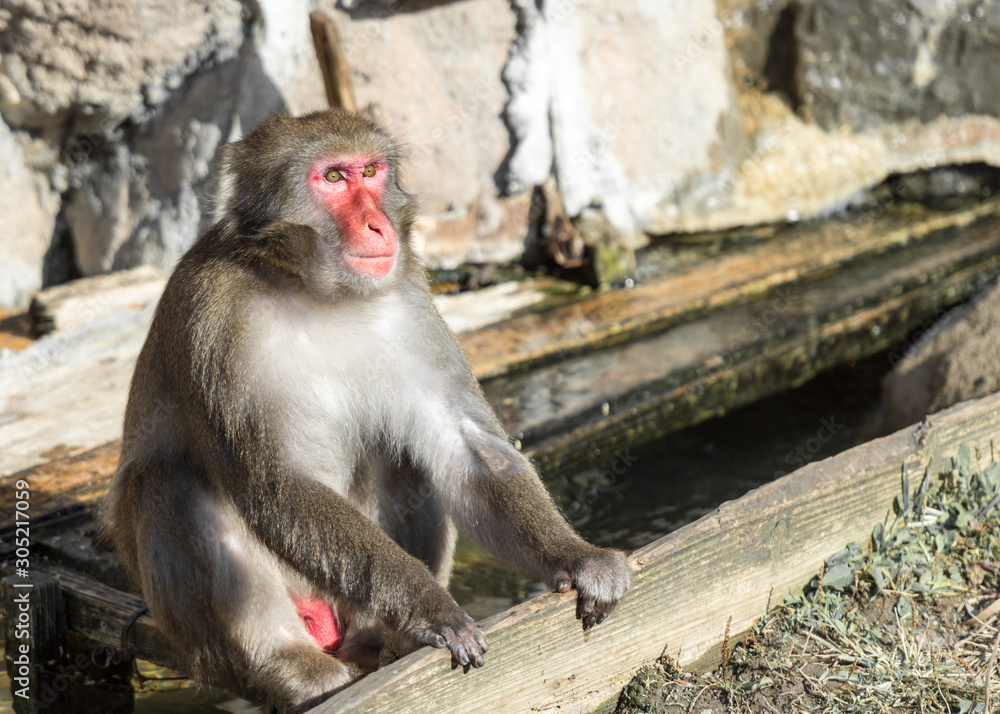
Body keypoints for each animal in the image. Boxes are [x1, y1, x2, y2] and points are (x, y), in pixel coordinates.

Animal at [103, 108, 632, 708]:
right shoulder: (213, 319)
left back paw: (384, 637)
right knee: (167, 480)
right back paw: (288, 664)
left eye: (372, 171)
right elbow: (277, 486)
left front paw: (576, 558)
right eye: (333, 177)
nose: (378, 226)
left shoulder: (408, 300)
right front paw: (429, 606)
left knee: (403, 449)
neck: (314, 291)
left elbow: (466, 446)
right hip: (220, 638)